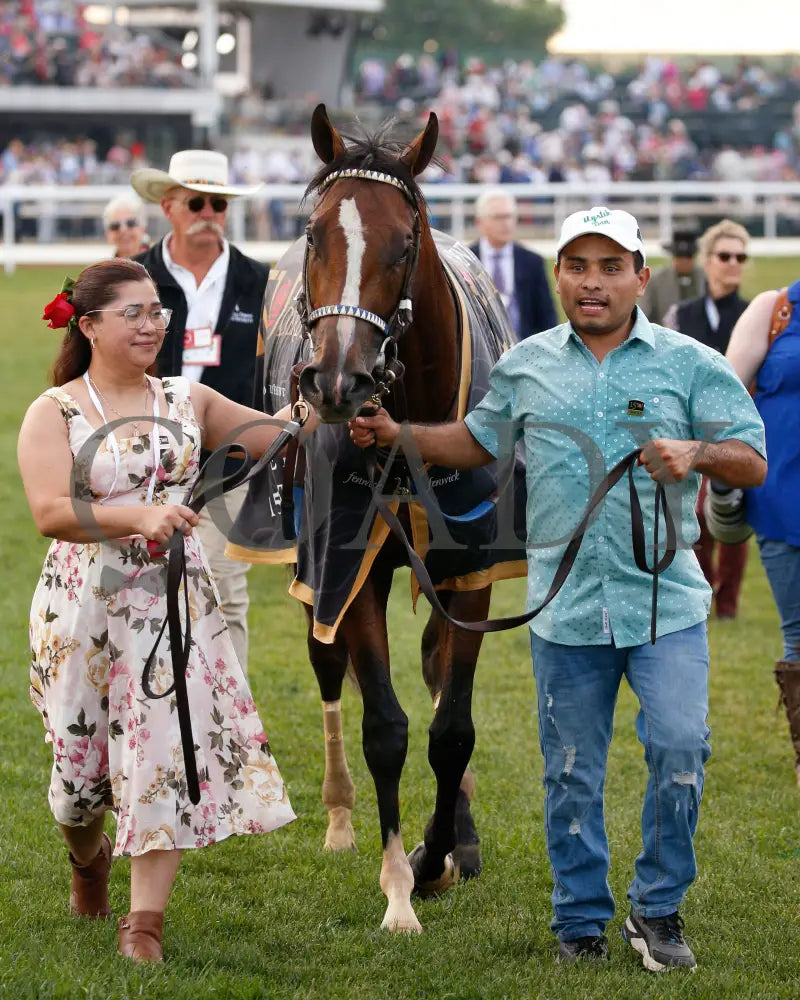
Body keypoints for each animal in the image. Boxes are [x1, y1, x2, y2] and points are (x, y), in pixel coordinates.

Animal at [244, 105, 524, 932]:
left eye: (404, 243)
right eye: (314, 235)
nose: (338, 381)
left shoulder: (471, 569)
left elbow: (452, 728)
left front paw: (440, 855)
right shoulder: (351, 564)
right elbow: (385, 728)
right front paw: (400, 885)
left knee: (434, 668)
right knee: (329, 666)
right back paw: (341, 819)